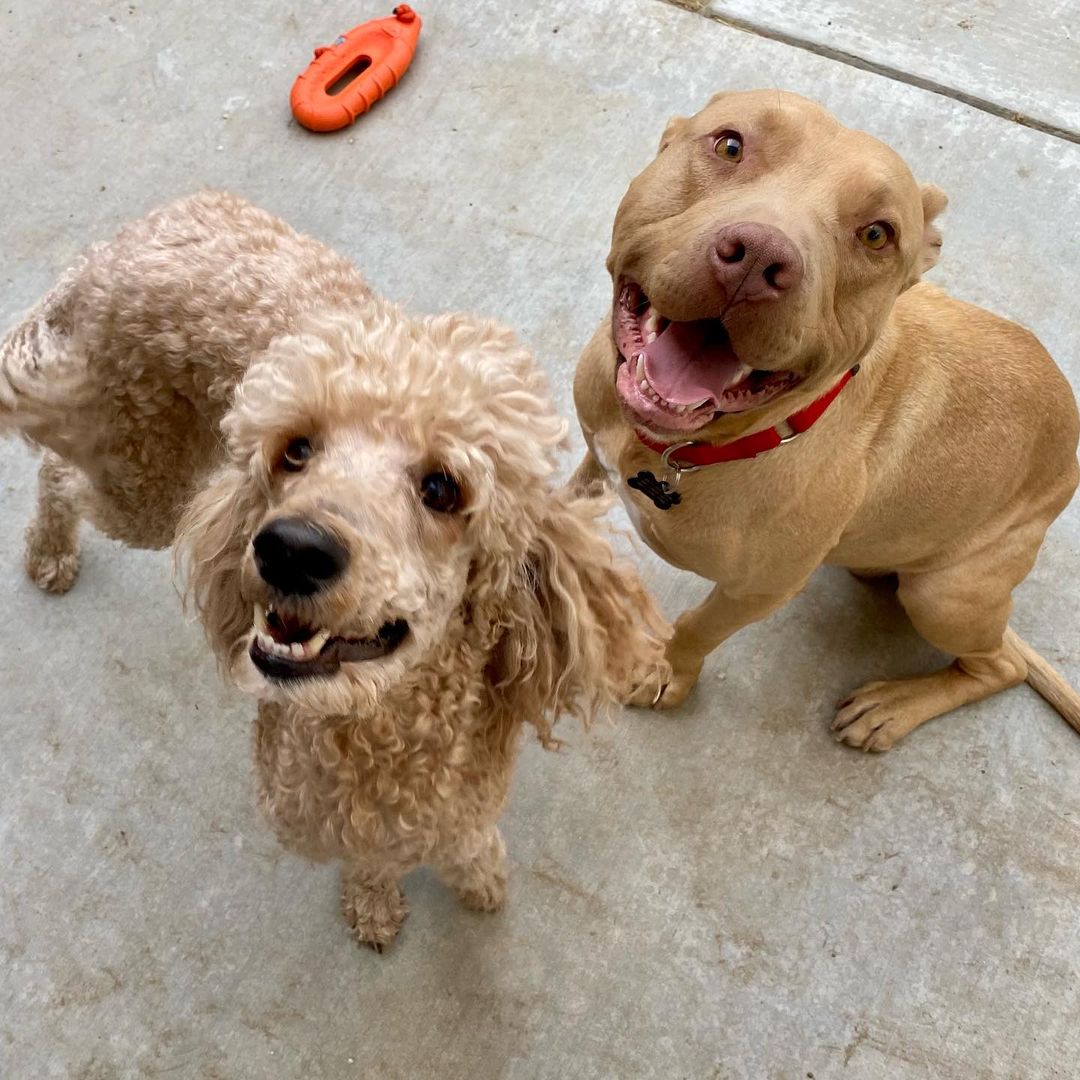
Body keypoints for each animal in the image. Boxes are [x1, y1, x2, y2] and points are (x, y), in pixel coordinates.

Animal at [574, 90, 1080, 751]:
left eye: (876, 235)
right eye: (730, 145)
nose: (758, 258)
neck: (677, 452)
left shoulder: (754, 591)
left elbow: (697, 626)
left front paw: (667, 671)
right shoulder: (592, 449)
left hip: (944, 595)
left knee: (1002, 666)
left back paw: (895, 706)